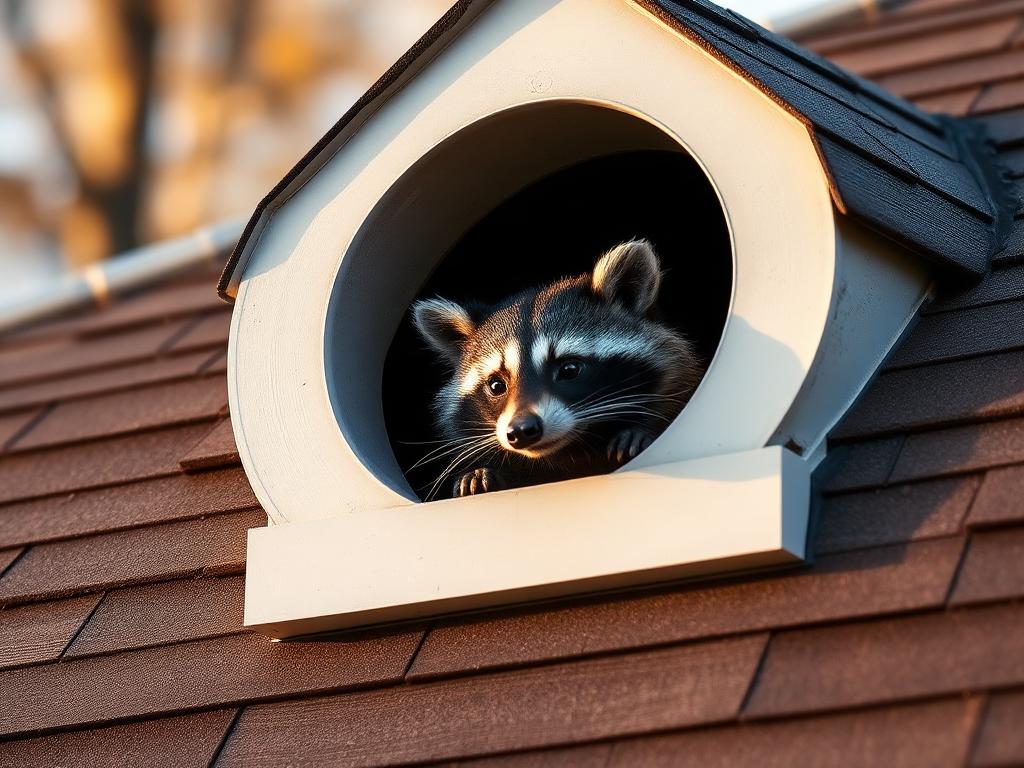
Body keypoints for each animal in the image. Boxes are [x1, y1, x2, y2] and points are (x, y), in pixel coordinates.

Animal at [411, 239, 703, 499]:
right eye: (496, 385)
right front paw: (482, 472)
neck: (573, 450)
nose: (521, 430)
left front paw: (640, 432)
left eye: (569, 369)